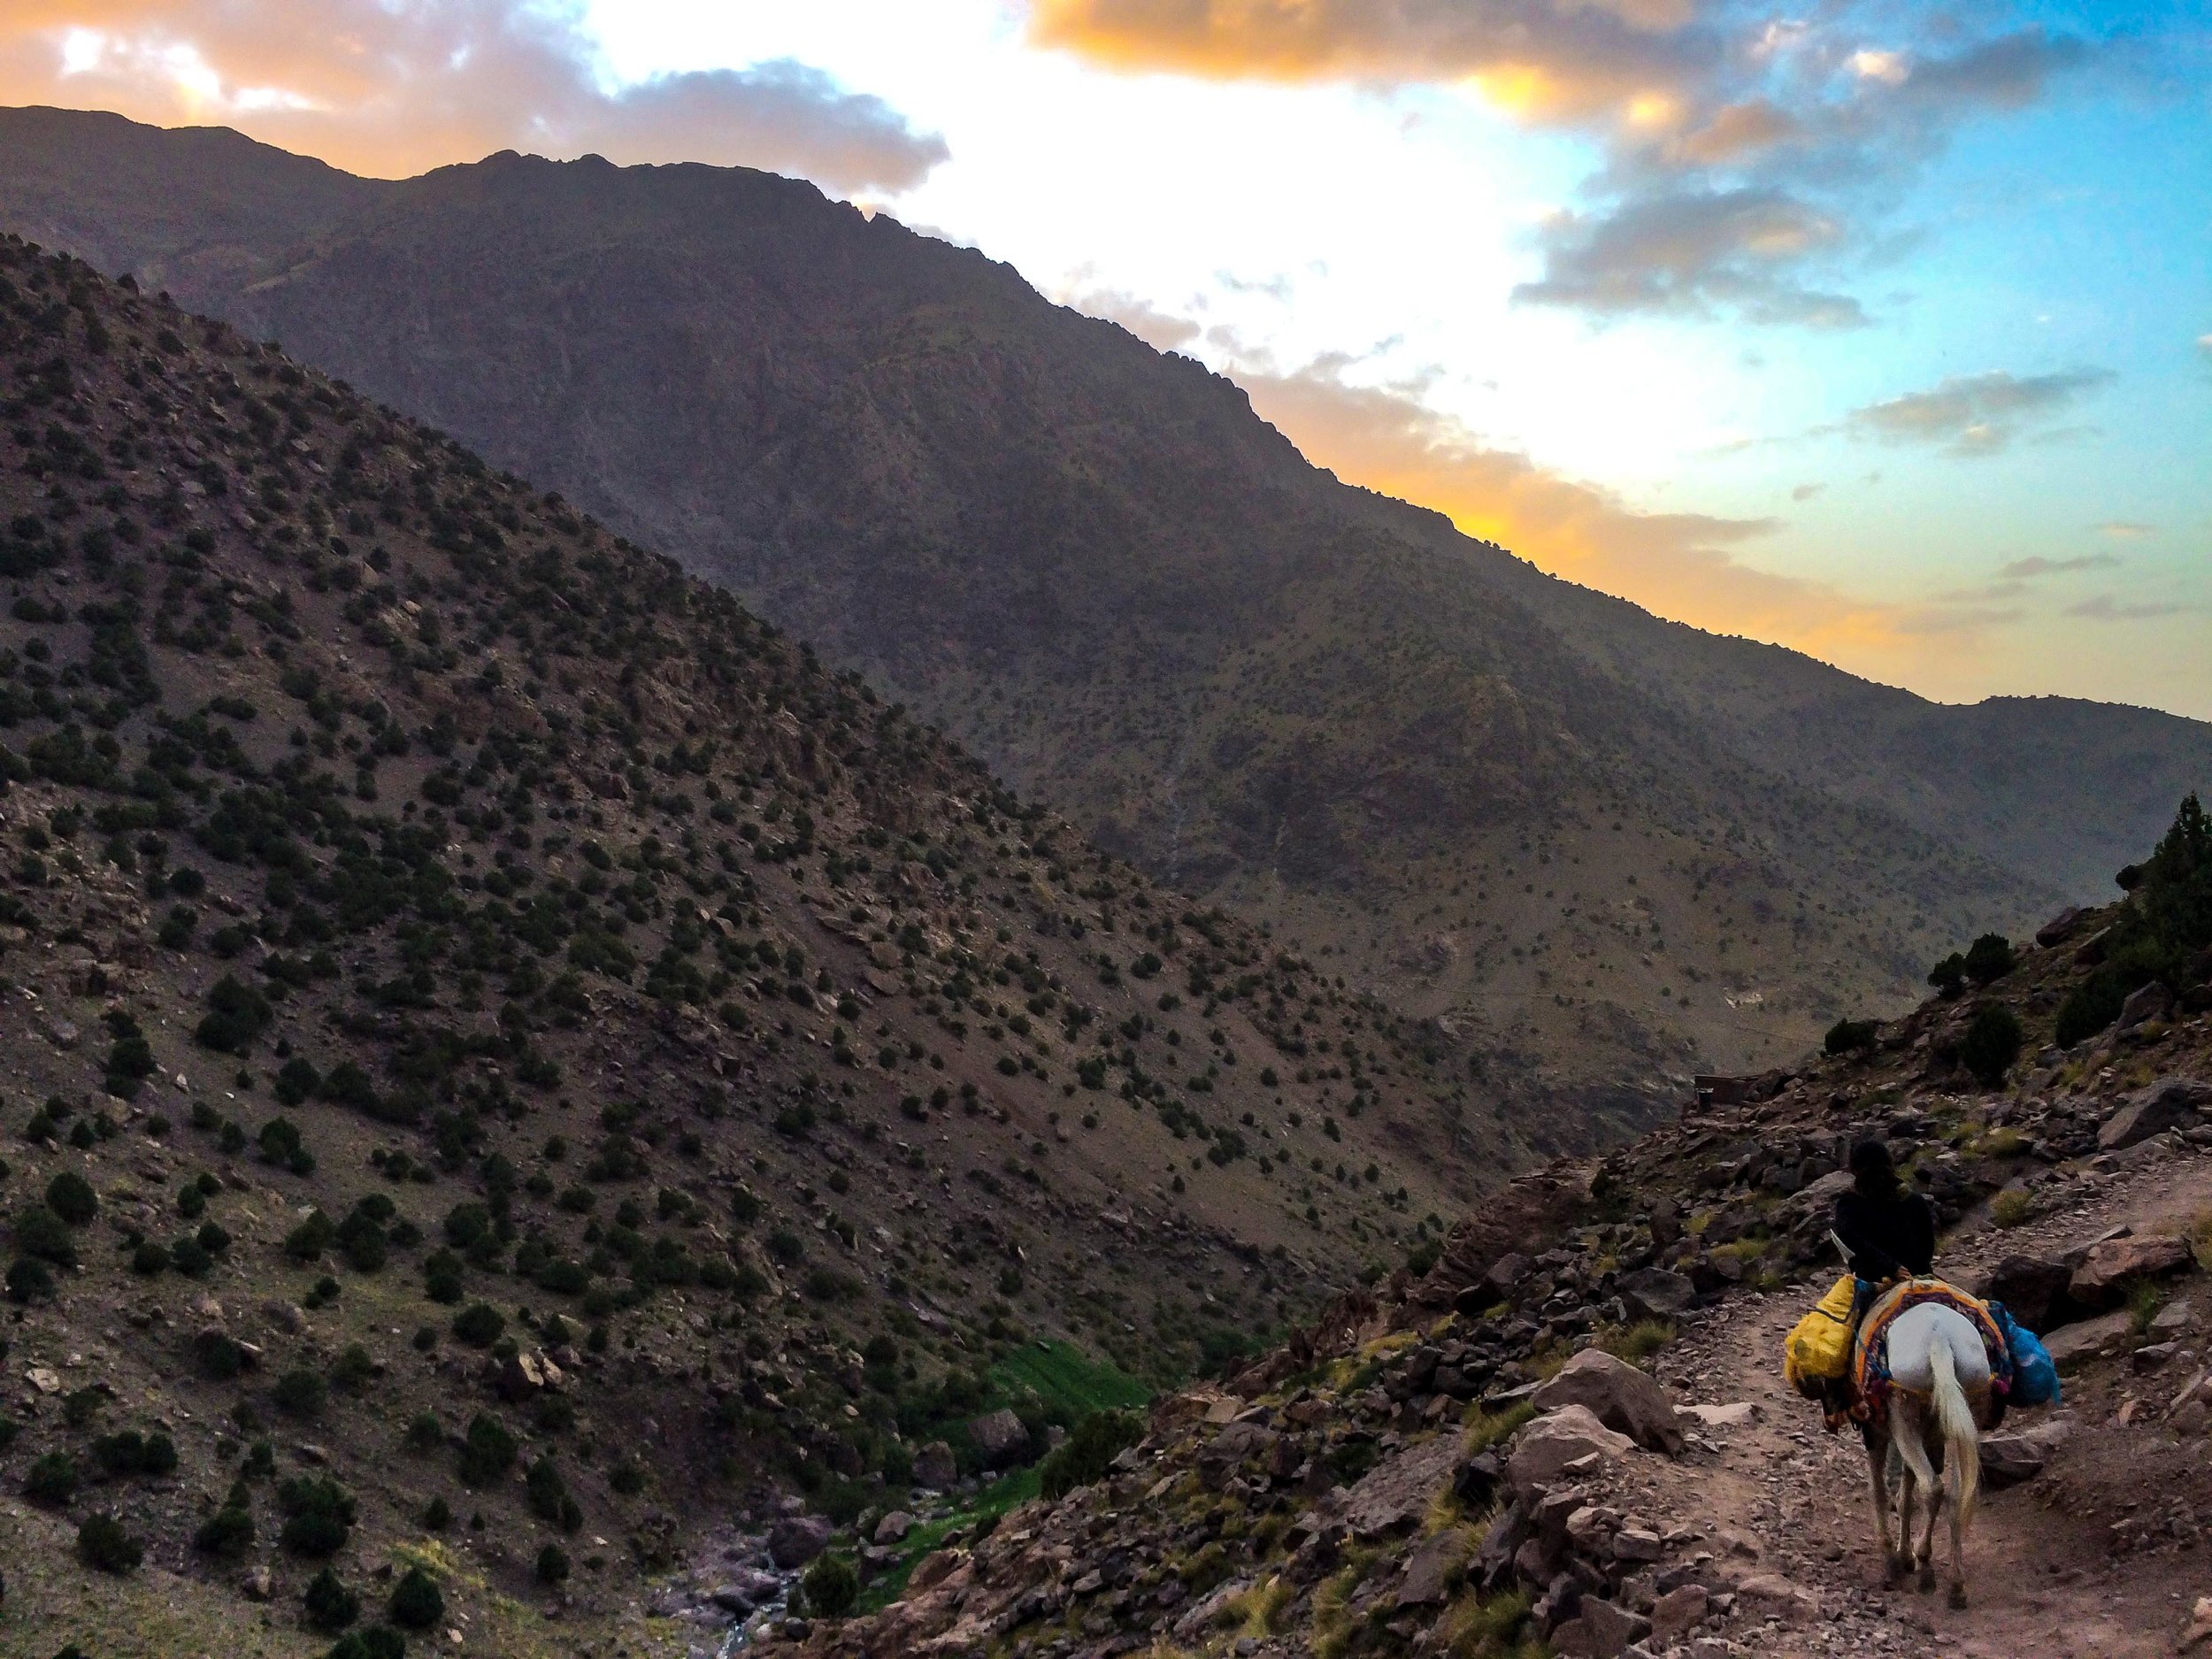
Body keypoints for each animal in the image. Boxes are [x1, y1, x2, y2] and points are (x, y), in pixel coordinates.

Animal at [1857, 1298, 1994, 1607]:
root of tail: (1939, 1338)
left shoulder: (1876, 1429)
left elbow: (1880, 1490)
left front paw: (1895, 1560)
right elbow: (1907, 1492)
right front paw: (1905, 1554)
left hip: (1903, 1415)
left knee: (1932, 1487)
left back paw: (1925, 1570)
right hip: (1964, 1413)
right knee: (1954, 1495)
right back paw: (1955, 1586)